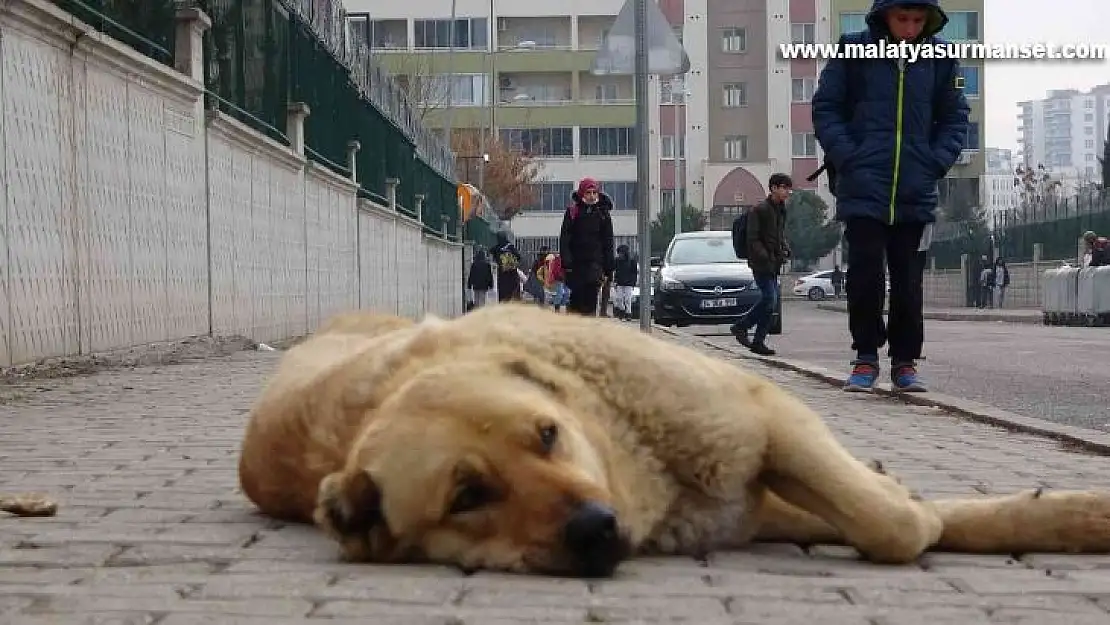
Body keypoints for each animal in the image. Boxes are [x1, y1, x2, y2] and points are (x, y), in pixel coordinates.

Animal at [238, 304, 1110, 577]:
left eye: (548, 434)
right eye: (468, 494)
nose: (597, 527)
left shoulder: (765, 417)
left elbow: (893, 516)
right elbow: (897, 525)